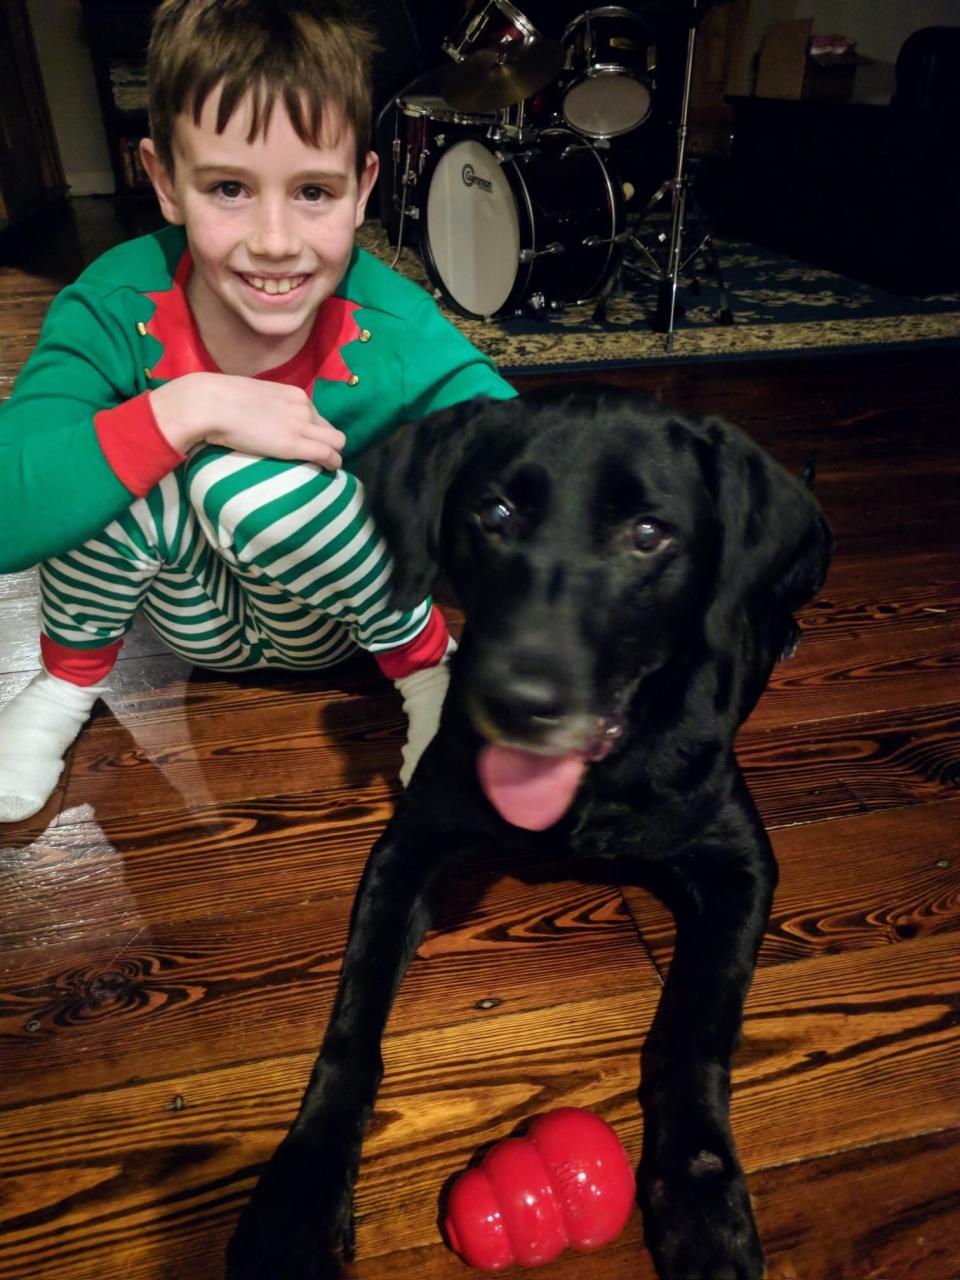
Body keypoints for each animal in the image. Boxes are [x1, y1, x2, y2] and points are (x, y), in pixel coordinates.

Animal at [227, 386, 834, 1280]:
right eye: (496, 513)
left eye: (648, 533)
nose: (521, 701)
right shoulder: (408, 848)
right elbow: (352, 1030)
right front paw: (297, 1198)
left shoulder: (741, 866)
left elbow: (695, 1029)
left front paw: (700, 1198)